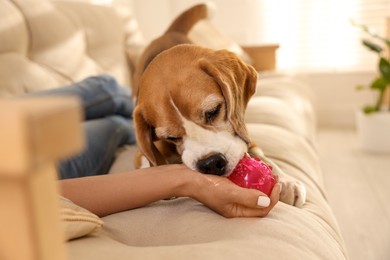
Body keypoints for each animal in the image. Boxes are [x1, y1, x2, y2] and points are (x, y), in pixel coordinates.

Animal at [133, 3, 306, 207]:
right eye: (171, 137)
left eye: (213, 111)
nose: (211, 163)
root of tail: (170, 33)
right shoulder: (141, 154)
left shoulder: (245, 133)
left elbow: (261, 154)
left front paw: (287, 181)